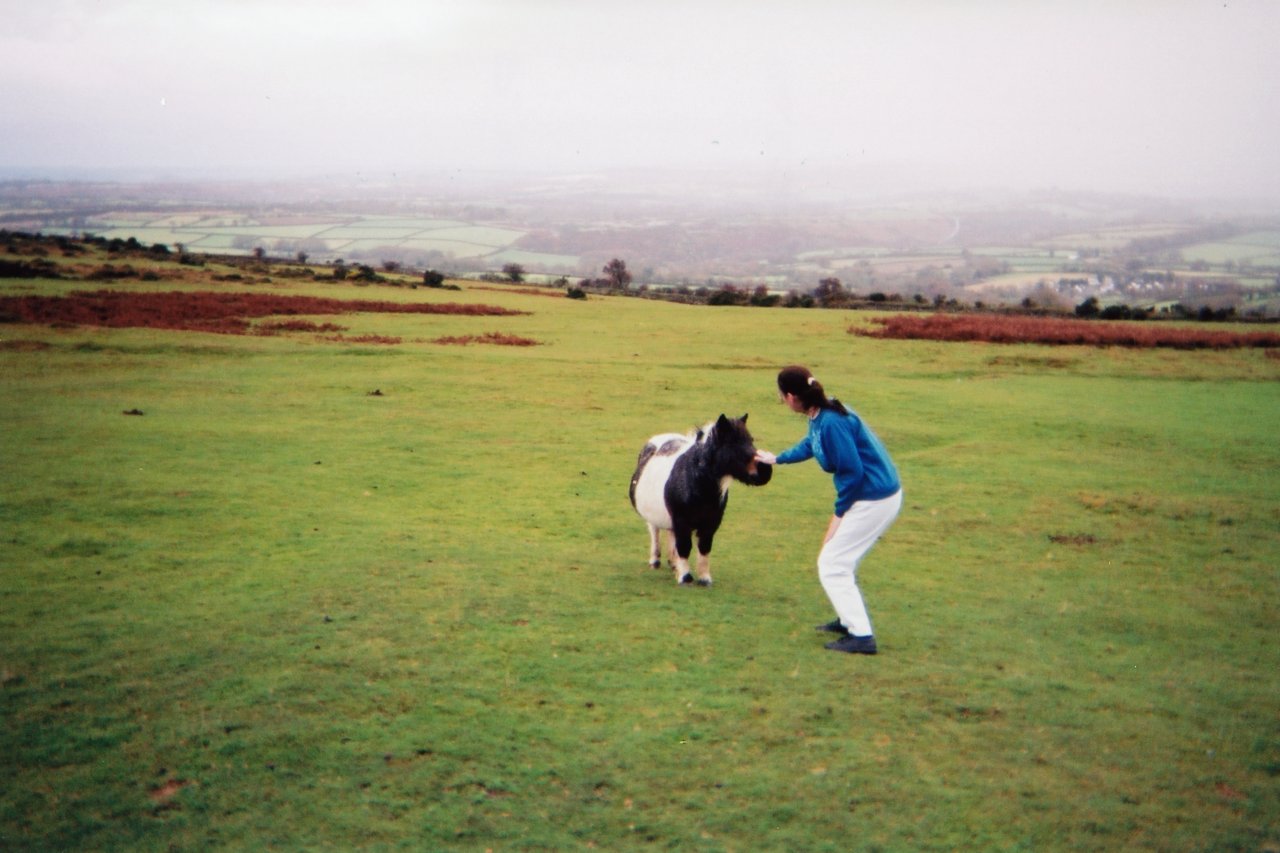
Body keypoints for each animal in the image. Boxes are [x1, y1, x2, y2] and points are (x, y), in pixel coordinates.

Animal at [627, 412, 768, 584]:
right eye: (732, 443)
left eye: (751, 440)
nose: (765, 470)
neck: (695, 483)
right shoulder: (681, 522)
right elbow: (684, 547)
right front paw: (685, 577)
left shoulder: (711, 524)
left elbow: (704, 548)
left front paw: (704, 579)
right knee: (654, 531)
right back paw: (655, 561)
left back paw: (673, 563)